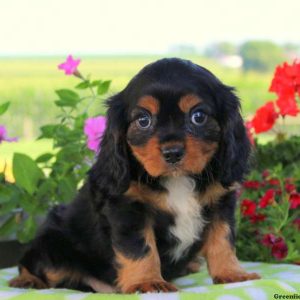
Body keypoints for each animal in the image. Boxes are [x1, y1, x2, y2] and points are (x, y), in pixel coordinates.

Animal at [9, 58, 260, 292]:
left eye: (198, 116)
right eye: (143, 120)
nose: (172, 152)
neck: (178, 180)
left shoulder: (220, 202)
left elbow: (223, 239)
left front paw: (231, 273)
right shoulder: (128, 208)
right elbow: (140, 248)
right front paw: (147, 282)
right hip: (53, 244)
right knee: (33, 263)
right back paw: (26, 280)